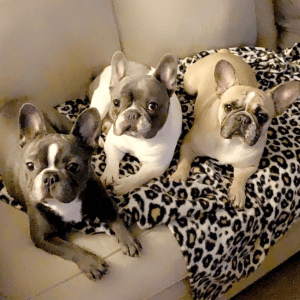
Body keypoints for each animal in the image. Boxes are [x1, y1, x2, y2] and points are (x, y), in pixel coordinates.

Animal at [0, 99, 141, 280]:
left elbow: (116, 219)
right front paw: (91, 263)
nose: (50, 176)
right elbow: (70, 248)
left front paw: (128, 240)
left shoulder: (103, 201)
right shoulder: (43, 238)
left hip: (62, 122)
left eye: (74, 166)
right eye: (30, 165)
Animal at [89, 51, 182, 196]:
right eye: (116, 102)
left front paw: (124, 184)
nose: (131, 114)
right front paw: (109, 175)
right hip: (101, 103)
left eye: (152, 106)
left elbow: (139, 177)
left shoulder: (156, 166)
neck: (136, 140)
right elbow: (112, 160)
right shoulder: (113, 143)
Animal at [171, 49, 300, 209]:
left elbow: (240, 178)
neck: (232, 142)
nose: (243, 118)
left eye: (262, 116)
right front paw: (179, 175)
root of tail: (225, 52)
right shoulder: (189, 145)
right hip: (190, 86)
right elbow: (185, 162)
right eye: (228, 107)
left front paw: (238, 193)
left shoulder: (248, 166)